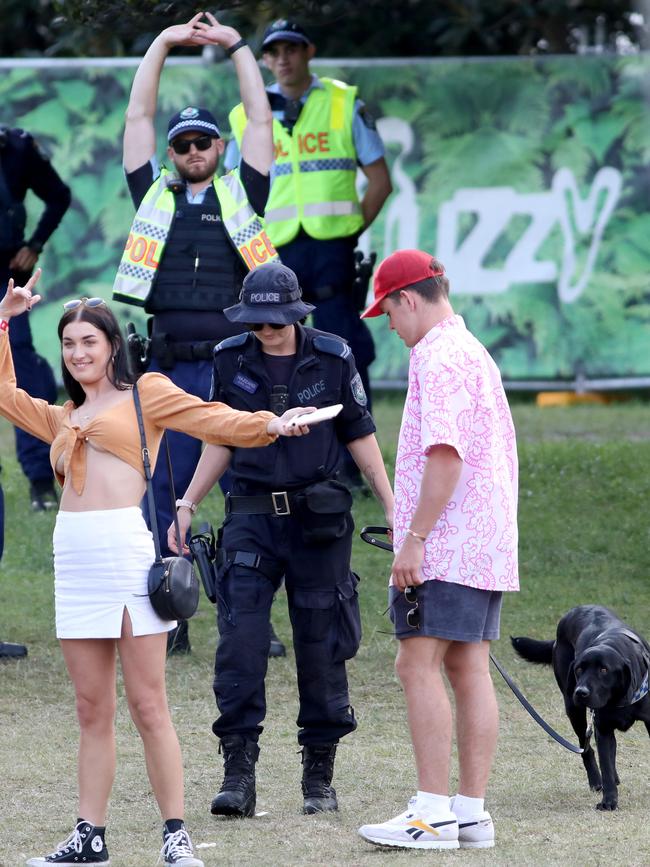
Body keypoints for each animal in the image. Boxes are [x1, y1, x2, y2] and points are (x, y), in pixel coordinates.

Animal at [512, 608, 648, 812]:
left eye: (604, 670)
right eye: (579, 669)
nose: (581, 692)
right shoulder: (602, 729)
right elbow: (606, 765)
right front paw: (609, 801)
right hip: (573, 708)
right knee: (587, 750)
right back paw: (596, 781)